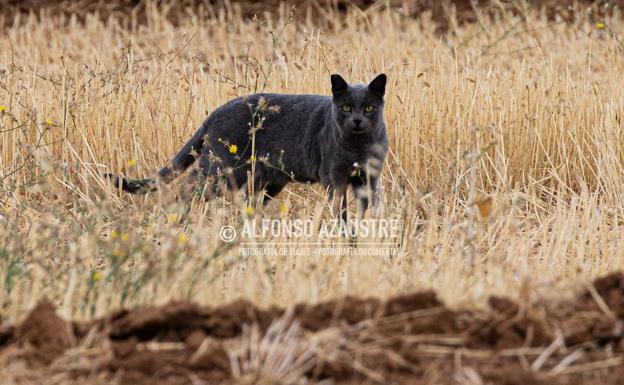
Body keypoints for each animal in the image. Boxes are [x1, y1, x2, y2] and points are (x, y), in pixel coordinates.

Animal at [108, 73, 390, 218]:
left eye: (368, 108)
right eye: (345, 108)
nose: (357, 120)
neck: (358, 146)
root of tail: (217, 111)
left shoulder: (369, 178)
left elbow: (368, 208)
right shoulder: (334, 178)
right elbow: (340, 211)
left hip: (262, 180)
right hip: (222, 170)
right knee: (188, 188)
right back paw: (179, 221)